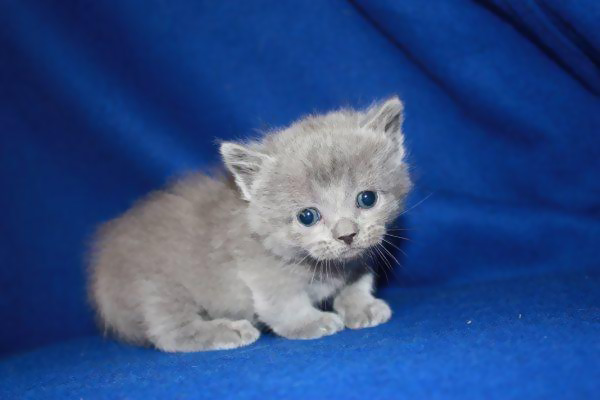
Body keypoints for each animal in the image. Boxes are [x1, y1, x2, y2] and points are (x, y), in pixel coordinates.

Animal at [89, 96, 412, 350]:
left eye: (367, 198)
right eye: (307, 216)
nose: (347, 235)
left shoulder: (361, 258)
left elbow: (358, 281)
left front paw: (361, 306)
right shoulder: (262, 272)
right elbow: (284, 304)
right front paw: (311, 322)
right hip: (156, 288)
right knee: (172, 333)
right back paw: (228, 330)